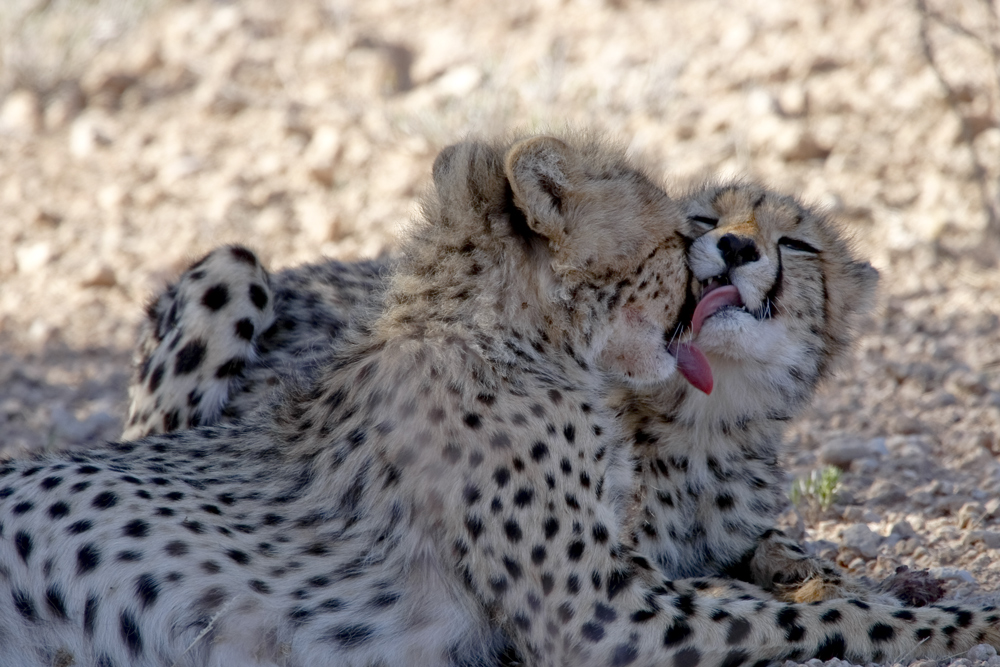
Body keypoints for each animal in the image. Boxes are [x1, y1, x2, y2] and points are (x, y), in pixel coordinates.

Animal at [3, 132, 996, 667]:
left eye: (798, 241)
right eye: (700, 222)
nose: (737, 251)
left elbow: (785, 561)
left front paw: (815, 565)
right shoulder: (601, 610)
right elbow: (826, 615)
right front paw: (960, 617)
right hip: (231, 267)